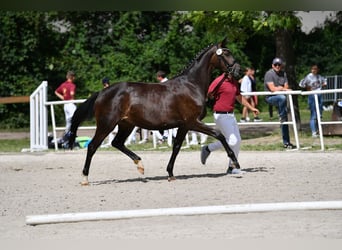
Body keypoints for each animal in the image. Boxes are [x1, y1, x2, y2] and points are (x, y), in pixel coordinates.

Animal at [68, 38, 240, 185]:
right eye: (226, 53)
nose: (238, 71)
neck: (191, 85)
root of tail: (102, 92)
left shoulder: (184, 125)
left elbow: (176, 147)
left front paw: (170, 174)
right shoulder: (192, 122)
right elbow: (219, 135)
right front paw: (236, 163)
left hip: (126, 125)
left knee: (117, 143)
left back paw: (140, 165)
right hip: (107, 124)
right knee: (93, 146)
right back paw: (85, 178)